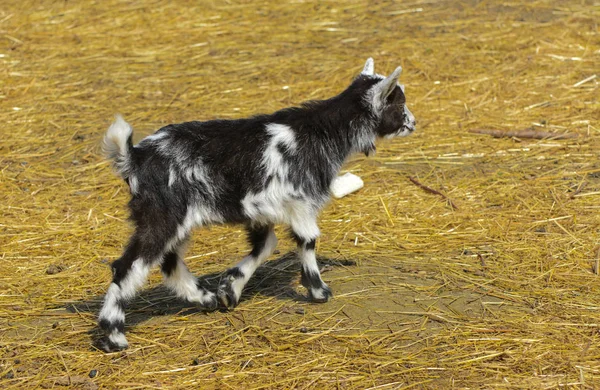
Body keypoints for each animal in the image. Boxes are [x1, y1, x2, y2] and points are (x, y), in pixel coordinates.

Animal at [99, 57, 418, 350]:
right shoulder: (301, 203)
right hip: (162, 217)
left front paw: (230, 288)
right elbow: (307, 241)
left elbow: (265, 245)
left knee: (169, 261)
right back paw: (113, 334)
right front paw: (319, 291)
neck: (321, 132)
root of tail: (135, 158)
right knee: (127, 266)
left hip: (175, 219)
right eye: (399, 103)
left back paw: (205, 298)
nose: (413, 123)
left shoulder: (261, 210)